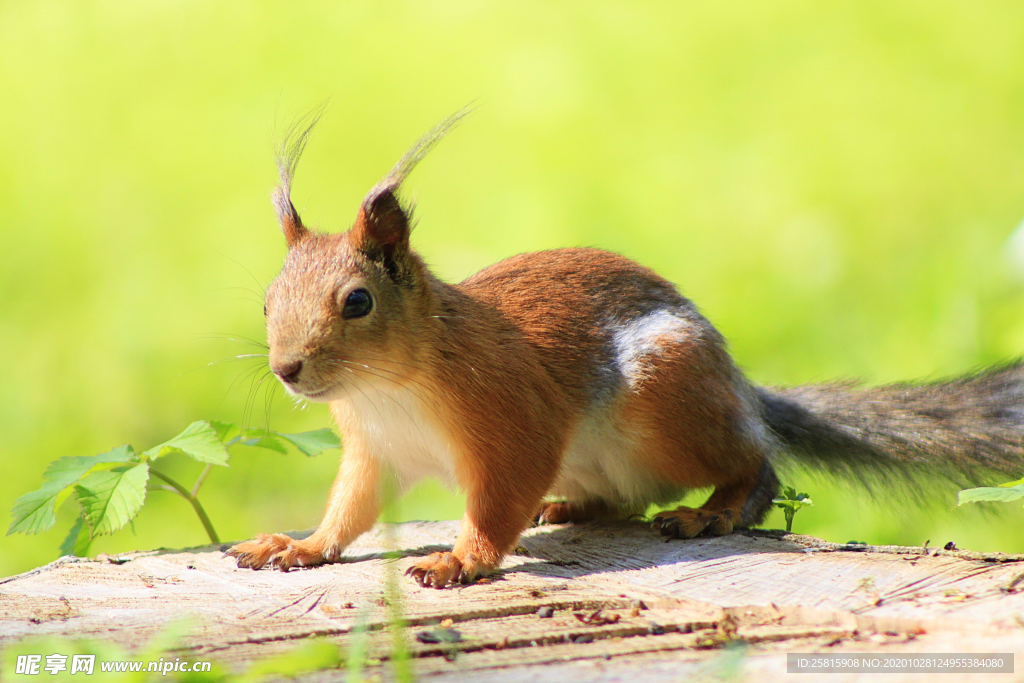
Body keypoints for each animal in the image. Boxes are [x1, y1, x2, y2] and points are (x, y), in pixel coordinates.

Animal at [226, 111, 1024, 589]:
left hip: (666, 399)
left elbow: (496, 502)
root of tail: (740, 389)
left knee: (757, 466)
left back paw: (711, 512)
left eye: (358, 301)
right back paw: (570, 506)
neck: (388, 387)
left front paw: (460, 559)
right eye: (266, 300)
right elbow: (348, 511)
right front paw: (298, 546)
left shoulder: (513, 418)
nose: (287, 368)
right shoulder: (374, 451)